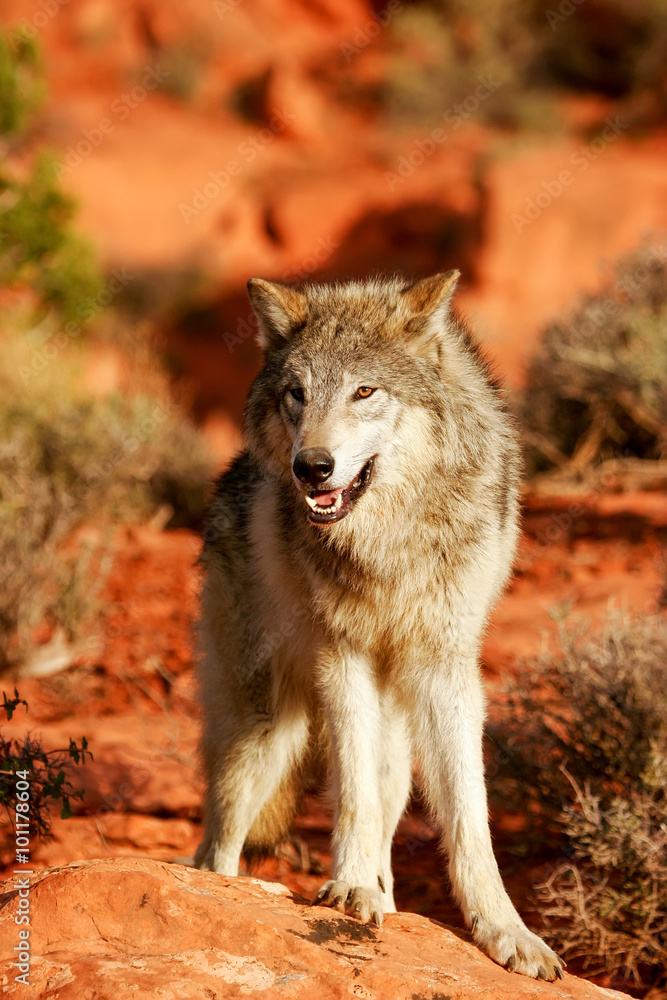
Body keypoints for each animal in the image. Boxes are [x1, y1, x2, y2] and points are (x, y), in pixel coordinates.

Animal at [194, 271, 564, 981]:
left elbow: (470, 816)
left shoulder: (447, 666)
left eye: (364, 391)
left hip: (392, 742)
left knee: (386, 807)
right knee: (216, 848)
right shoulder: (343, 655)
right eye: (297, 394)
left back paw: (390, 904)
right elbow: (352, 798)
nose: (311, 467)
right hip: (264, 734)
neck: (390, 540)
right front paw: (350, 888)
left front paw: (506, 932)